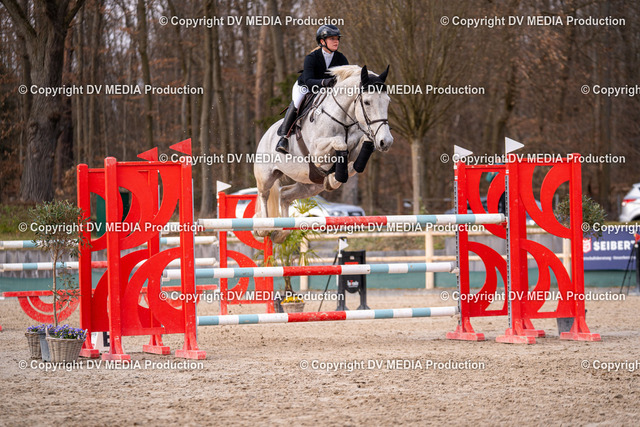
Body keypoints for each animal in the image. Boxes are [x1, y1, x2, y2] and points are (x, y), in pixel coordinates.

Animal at [254, 65, 394, 243]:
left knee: (285, 195)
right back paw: (263, 228)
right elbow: (340, 143)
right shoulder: (317, 151)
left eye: (387, 101)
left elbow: (360, 146)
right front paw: (336, 177)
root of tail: (266, 134)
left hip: (310, 185)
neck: (344, 120)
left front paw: (334, 177)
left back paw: (281, 234)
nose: (386, 141)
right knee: (263, 195)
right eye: (367, 102)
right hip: (266, 175)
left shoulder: (355, 147)